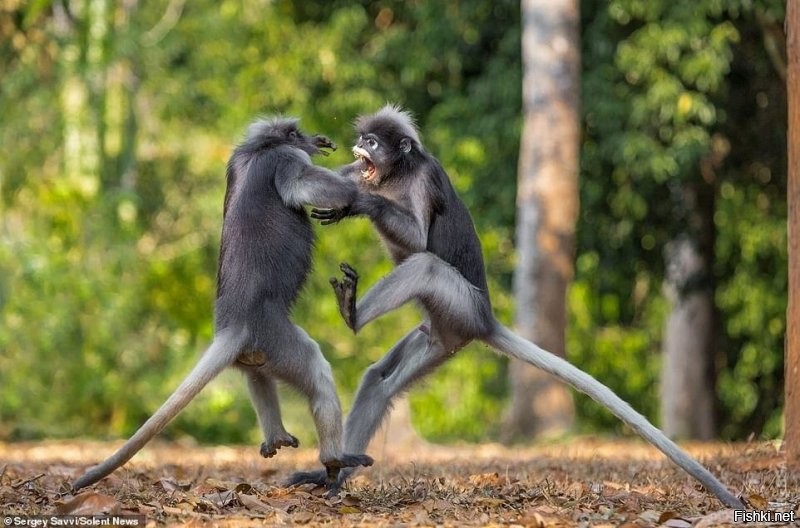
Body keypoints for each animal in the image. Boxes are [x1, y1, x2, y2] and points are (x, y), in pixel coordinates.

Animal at [73, 117, 374, 492]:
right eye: (298, 134)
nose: (312, 139)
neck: (258, 147)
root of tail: (233, 326)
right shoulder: (284, 158)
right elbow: (303, 186)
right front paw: (359, 177)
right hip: (274, 335)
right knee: (316, 371)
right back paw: (335, 459)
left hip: (257, 351)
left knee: (257, 375)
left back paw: (277, 437)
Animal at [290, 105, 748, 510]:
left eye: (372, 141)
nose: (359, 144)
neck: (394, 177)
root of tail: (485, 320)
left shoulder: (423, 179)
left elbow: (419, 241)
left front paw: (359, 204)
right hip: (440, 334)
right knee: (379, 381)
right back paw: (334, 475)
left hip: (458, 303)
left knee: (425, 266)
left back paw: (353, 316)